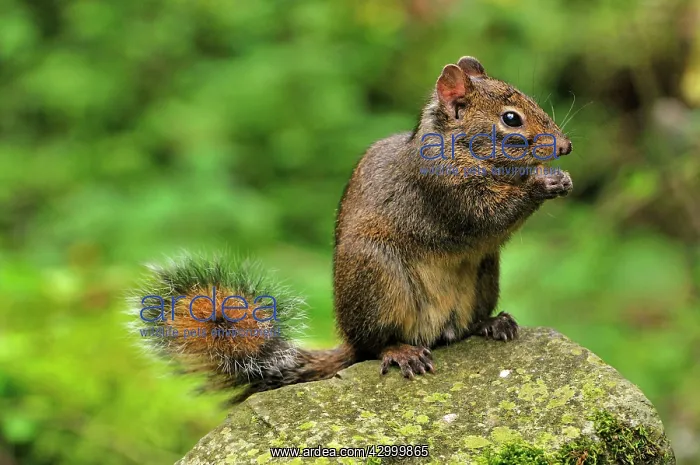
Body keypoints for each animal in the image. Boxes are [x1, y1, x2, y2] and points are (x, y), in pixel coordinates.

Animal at [131, 56, 573, 402]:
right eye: (510, 119)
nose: (565, 147)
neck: (457, 147)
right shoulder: (442, 191)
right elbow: (485, 215)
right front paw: (543, 181)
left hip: (484, 275)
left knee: (460, 330)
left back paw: (490, 324)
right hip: (378, 278)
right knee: (375, 345)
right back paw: (401, 351)